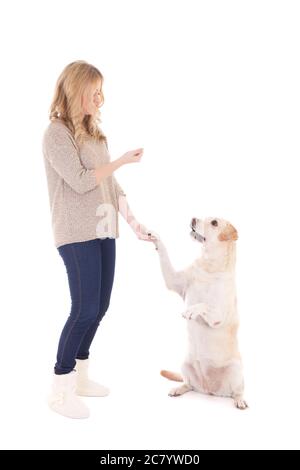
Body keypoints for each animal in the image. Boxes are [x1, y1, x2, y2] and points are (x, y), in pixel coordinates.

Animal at [154, 218, 247, 410]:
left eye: (214, 222)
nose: (193, 219)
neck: (209, 266)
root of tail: (209, 390)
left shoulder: (218, 315)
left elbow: (204, 304)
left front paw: (191, 310)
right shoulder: (174, 281)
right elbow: (165, 256)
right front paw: (155, 238)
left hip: (236, 371)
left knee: (237, 391)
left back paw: (240, 400)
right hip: (185, 364)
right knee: (188, 384)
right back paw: (178, 389)